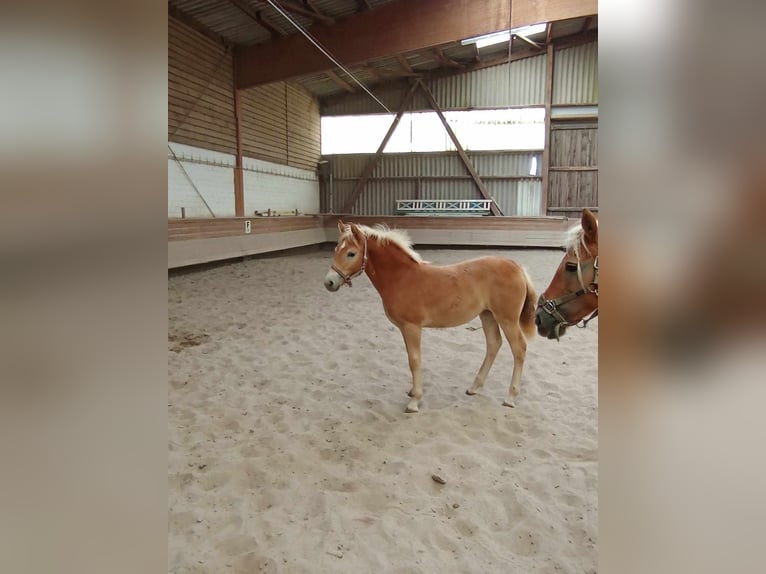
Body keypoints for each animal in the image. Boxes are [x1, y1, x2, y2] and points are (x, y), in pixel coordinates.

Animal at [326, 220, 540, 414]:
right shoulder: (404, 328)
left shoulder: (412, 327)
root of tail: (517, 266)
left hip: (507, 319)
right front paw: (412, 392)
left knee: (519, 349)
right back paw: (474, 387)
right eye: (336, 249)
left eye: (351, 253)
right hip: (487, 315)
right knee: (494, 344)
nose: (329, 282)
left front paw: (414, 401)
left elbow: (414, 360)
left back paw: (510, 397)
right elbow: (410, 358)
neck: (401, 277)